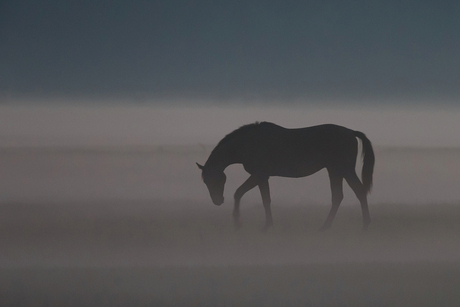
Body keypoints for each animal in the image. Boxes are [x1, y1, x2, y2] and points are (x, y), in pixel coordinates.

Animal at [196, 122, 376, 231]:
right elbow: (265, 199)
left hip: (345, 169)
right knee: (338, 196)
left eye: (215, 180)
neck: (249, 143)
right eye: (205, 182)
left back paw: (365, 225)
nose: (217, 200)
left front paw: (239, 222)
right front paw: (267, 225)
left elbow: (240, 193)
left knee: (358, 192)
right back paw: (325, 226)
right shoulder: (263, 177)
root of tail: (351, 132)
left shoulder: (259, 175)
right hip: (334, 170)